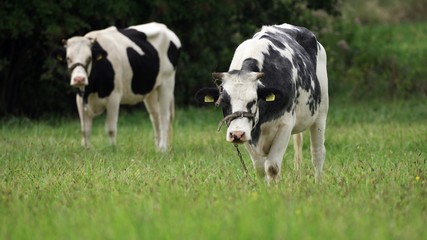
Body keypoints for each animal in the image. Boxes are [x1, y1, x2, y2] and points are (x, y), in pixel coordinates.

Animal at [53, 22, 181, 152]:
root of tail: (164, 27)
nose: (79, 79)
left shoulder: (114, 97)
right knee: (155, 117)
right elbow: (85, 130)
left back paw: (163, 149)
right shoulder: (80, 98)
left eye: (89, 58)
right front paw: (86, 149)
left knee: (164, 116)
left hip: (167, 82)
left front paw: (112, 149)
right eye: (68, 58)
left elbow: (110, 129)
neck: (92, 89)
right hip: (151, 90)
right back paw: (157, 148)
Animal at [196, 23, 330, 183]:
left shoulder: (285, 124)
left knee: (317, 153)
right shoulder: (249, 133)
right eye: (223, 101)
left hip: (321, 112)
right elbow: (260, 168)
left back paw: (318, 184)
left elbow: (272, 167)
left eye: (253, 101)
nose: (236, 134)